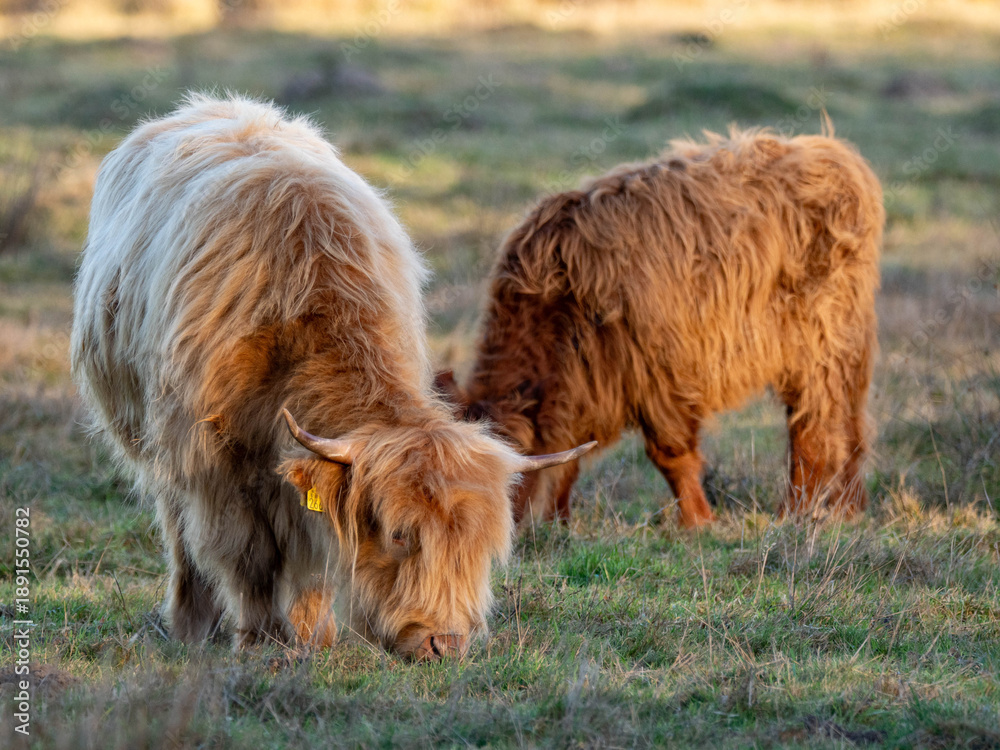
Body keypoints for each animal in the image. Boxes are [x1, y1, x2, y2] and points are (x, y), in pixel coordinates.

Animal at [70, 94, 593, 658]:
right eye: (399, 535)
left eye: (481, 546)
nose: (445, 643)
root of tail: (213, 104)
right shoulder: (216, 465)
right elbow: (248, 556)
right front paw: (257, 640)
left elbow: (316, 555)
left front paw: (310, 639)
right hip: (157, 441)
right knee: (180, 532)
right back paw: (192, 625)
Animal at [438, 127, 883, 529]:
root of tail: (832, 152)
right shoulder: (589, 389)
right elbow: (568, 462)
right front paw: (558, 522)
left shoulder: (658, 376)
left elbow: (670, 454)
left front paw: (698, 522)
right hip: (848, 348)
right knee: (852, 424)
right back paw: (850, 509)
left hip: (818, 345)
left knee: (814, 428)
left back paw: (795, 512)